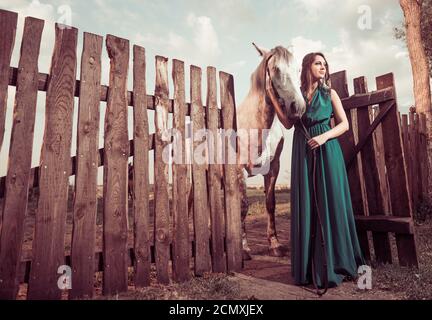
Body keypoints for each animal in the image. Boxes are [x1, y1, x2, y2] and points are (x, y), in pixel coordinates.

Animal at [238, 43, 306, 260]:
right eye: (275, 69)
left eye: (298, 69)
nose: (298, 107)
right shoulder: (240, 170)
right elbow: (243, 206)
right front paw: (244, 249)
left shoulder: (273, 168)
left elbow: (270, 204)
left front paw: (274, 244)